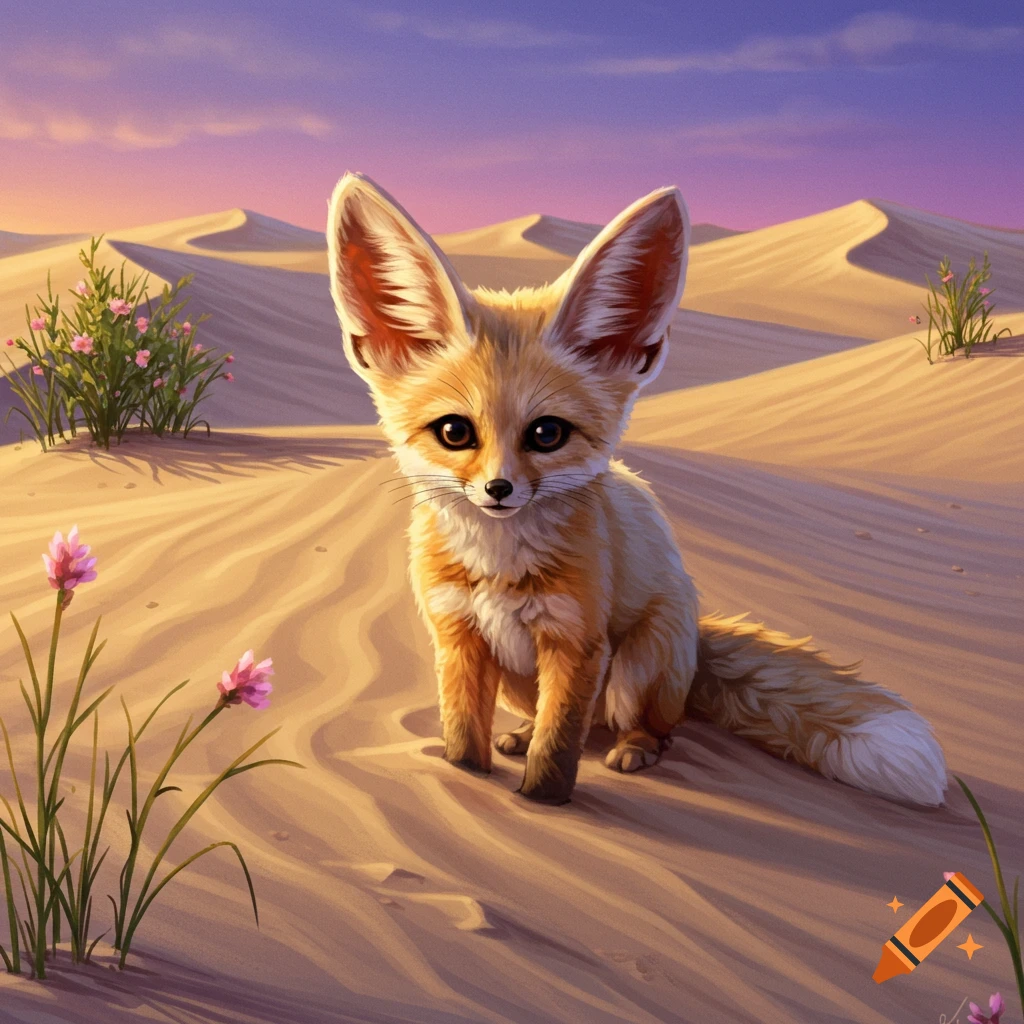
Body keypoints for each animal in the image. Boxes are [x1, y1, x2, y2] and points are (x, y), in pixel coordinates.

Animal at [325, 171, 948, 808]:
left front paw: (544, 802)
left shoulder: (578, 641)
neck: (497, 566)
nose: (499, 489)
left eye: (546, 434)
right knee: (562, 720)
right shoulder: (459, 635)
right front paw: (467, 779)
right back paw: (521, 735)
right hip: (522, 681)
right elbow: (463, 739)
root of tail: (695, 633)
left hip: (634, 670)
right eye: (455, 432)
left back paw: (635, 750)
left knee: (645, 726)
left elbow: (559, 746)